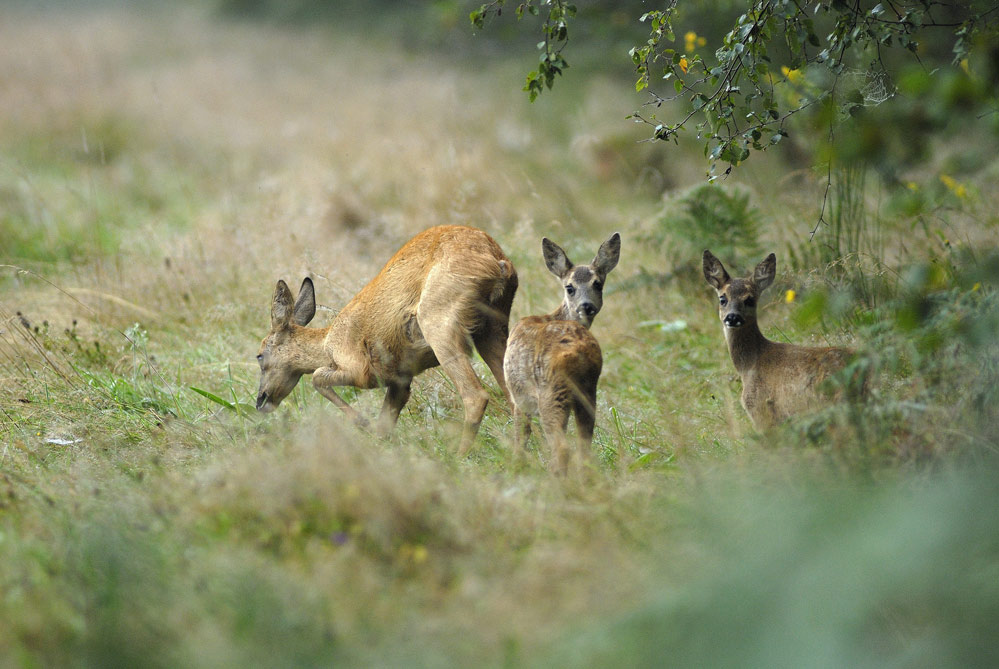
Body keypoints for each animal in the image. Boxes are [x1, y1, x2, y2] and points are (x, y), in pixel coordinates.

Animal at [254, 224, 520, 454]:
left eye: (259, 355)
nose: (260, 401)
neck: (328, 342)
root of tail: (498, 261)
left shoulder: (360, 370)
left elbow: (317, 377)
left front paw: (362, 422)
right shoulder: (400, 381)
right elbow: (384, 425)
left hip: (440, 326)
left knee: (476, 395)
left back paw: (458, 456)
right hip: (492, 329)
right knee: (514, 395)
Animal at [504, 232, 620, 472]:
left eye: (598, 284)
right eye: (570, 287)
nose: (587, 306)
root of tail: (580, 352)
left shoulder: (518, 398)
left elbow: (520, 437)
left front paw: (515, 467)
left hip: (551, 392)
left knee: (562, 448)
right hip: (588, 392)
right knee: (585, 447)